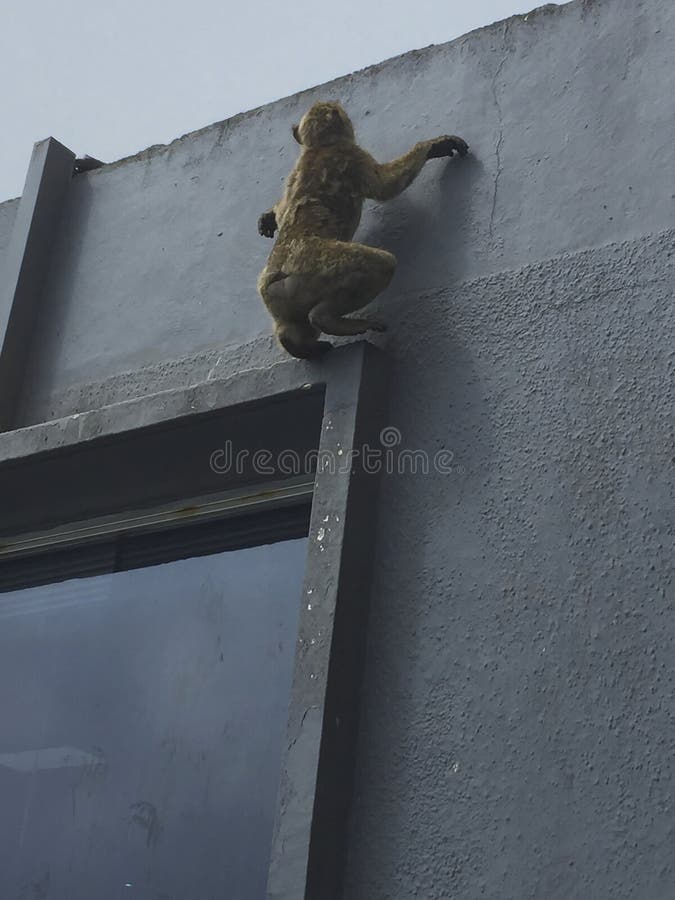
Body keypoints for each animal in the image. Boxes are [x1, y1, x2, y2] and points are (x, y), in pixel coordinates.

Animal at [257, 101, 468, 359]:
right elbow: (384, 185)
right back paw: (327, 318)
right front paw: (432, 147)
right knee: (380, 263)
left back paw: (297, 343)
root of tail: (274, 278)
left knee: (293, 325)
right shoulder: (353, 156)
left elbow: (284, 208)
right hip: (315, 265)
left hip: (282, 298)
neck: (320, 146)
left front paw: (270, 216)